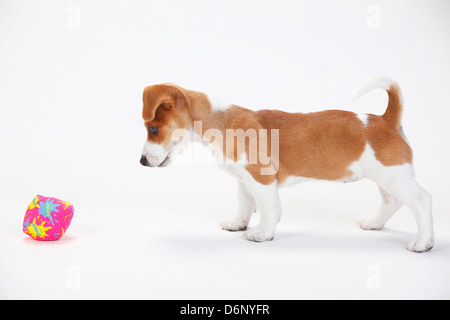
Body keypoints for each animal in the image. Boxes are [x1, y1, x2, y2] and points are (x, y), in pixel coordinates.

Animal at [142, 78, 436, 252]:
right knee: (391, 201)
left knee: (421, 200)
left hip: (395, 177)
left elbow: (268, 210)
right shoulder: (243, 181)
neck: (223, 124)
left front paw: (262, 234)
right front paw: (238, 223)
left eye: (153, 129)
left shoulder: (261, 181)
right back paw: (374, 223)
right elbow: (244, 205)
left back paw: (423, 242)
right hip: (386, 177)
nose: (142, 161)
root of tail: (386, 119)